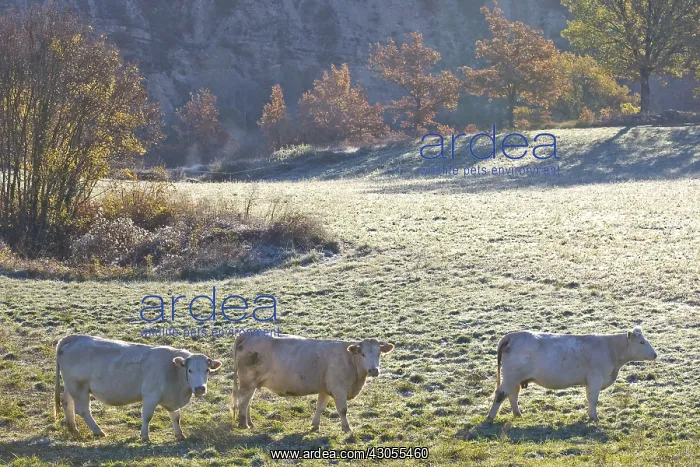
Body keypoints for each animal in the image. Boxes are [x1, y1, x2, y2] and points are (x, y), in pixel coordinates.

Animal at [54, 335, 222, 441]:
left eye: (207, 370)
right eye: (190, 370)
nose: (200, 388)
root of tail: (74, 338)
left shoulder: (172, 399)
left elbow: (175, 417)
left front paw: (179, 435)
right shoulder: (150, 395)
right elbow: (147, 416)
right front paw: (145, 437)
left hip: (71, 386)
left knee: (67, 402)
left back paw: (73, 428)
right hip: (78, 387)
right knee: (82, 410)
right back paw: (98, 431)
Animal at [231, 333, 394, 433]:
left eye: (379, 354)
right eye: (363, 354)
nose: (373, 370)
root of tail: (249, 334)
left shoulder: (325, 389)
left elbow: (320, 407)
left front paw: (315, 426)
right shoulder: (339, 389)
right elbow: (342, 410)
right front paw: (347, 428)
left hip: (252, 384)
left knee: (248, 402)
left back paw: (250, 423)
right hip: (248, 382)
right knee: (243, 402)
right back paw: (244, 425)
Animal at [487, 327, 657, 422]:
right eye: (642, 342)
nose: (655, 354)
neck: (610, 348)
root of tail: (512, 336)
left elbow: (589, 399)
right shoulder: (595, 379)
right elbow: (593, 400)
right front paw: (595, 418)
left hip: (515, 378)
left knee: (512, 394)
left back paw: (518, 414)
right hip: (511, 376)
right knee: (501, 393)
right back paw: (490, 417)